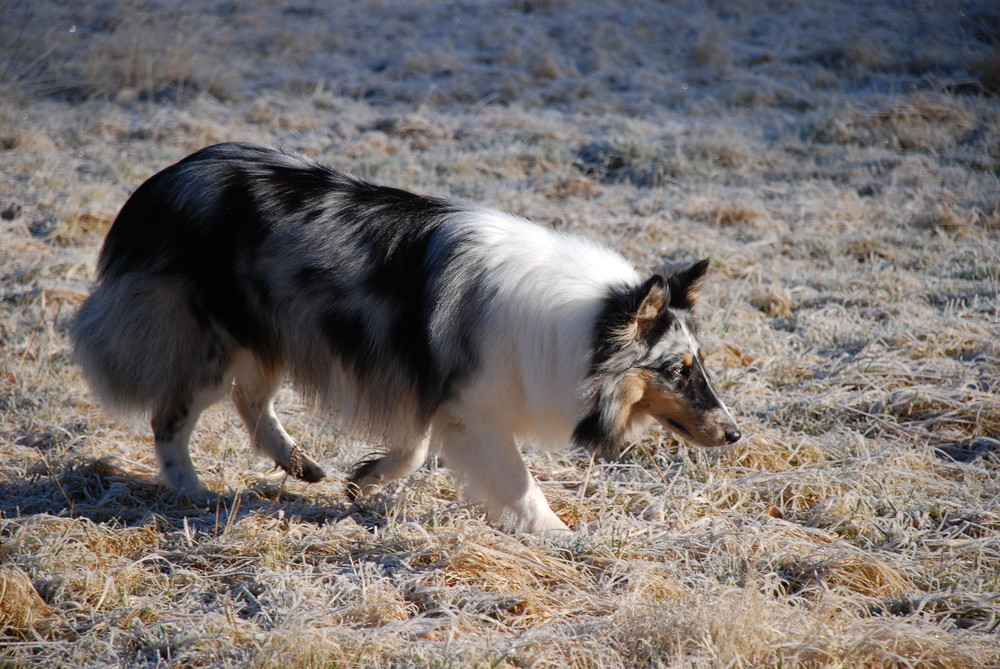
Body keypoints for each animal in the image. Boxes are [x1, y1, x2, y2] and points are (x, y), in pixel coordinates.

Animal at [70, 141, 740, 532]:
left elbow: (414, 447)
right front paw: (559, 539)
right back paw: (193, 493)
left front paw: (363, 479)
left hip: (270, 335)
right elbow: (518, 485)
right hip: (214, 344)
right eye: (678, 369)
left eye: (699, 363)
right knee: (170, 418)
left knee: (249, 400)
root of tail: (164, 181)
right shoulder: (474, 411)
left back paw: (299, 463)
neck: (580, 325)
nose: (735, 434)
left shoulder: (432, 385)